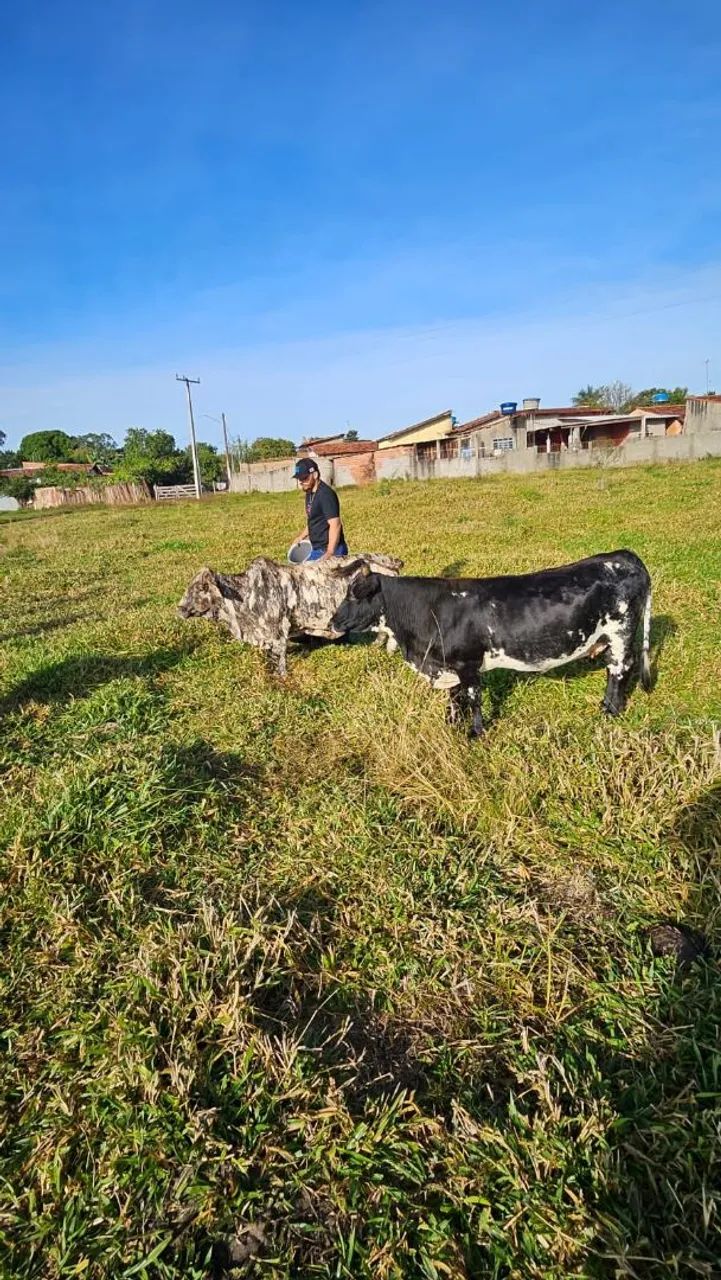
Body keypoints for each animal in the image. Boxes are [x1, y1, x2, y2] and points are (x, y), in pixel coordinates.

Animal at [178, 553, 403, 676]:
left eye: (200, 587)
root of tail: (387, 561)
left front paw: (282, 676)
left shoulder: (279, 630)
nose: (179, 608)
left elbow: (281, 657)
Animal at [330, 550, 652, 735]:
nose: (332, 623)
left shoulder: (468, 664)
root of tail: (625, 556)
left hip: (621, 631)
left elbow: (473, 698)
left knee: (620, 668)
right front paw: (451, 725)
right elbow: (454, 698)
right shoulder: (449, 666)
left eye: (355, 595)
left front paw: (475, 732)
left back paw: (611, 710)